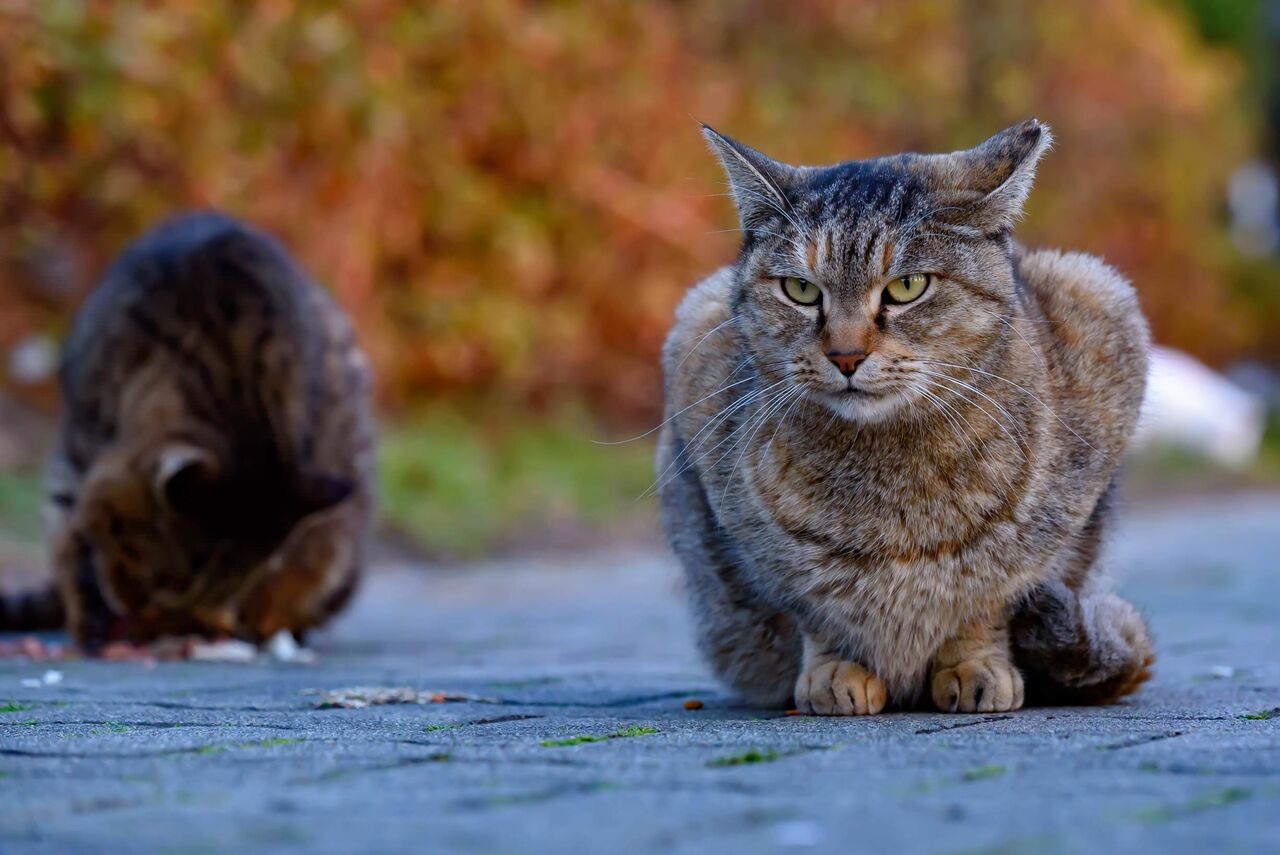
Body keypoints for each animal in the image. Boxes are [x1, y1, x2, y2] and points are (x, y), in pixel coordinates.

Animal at [0, 212, 374, 651]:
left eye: (163, 591)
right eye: (150, 581)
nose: (141, 620)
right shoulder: (75, 450)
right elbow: (70, 538)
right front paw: (88, 612)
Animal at [657, 119, 1153, 714]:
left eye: (907, 287)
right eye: (801, 290)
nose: (846, 355)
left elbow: (988, 598)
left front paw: (974, 665)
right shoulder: (758, 540)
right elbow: (814, 605)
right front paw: (834, 670)